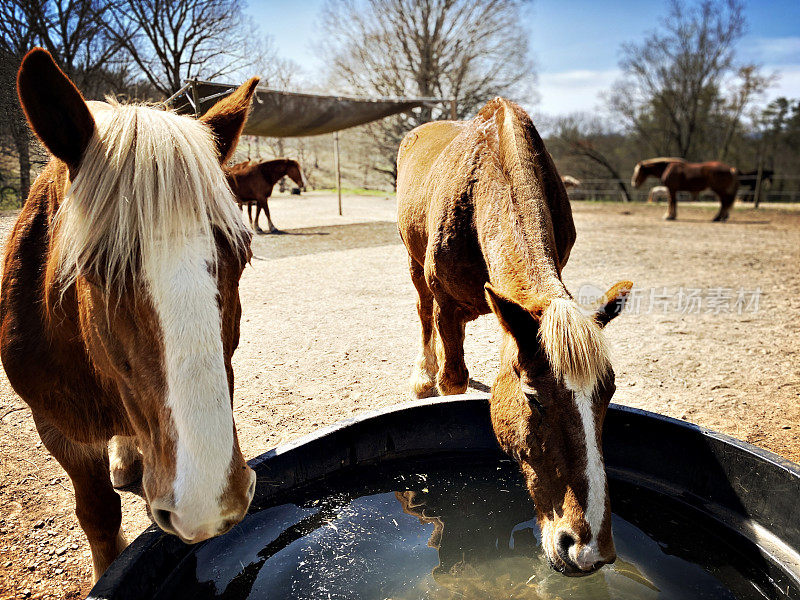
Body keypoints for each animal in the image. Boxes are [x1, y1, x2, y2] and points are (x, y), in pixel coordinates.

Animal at [396, 97, 636, 576]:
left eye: (609, 395)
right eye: (533, 398)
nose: (588, 551)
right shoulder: (447, 306)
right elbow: (452, 376)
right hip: (413, 265)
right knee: (422, 314)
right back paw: (422, 376)